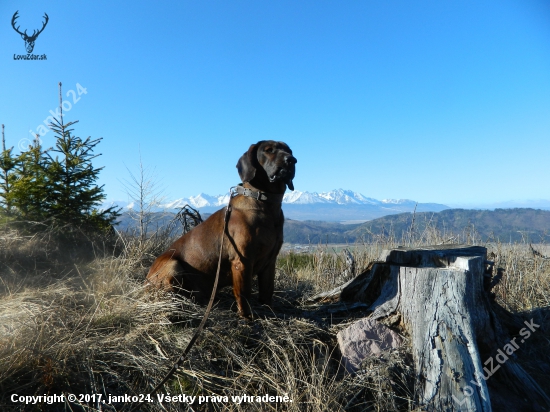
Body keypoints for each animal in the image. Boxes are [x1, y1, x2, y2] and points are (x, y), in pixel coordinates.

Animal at [147, 140, 298, 318]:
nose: (292, 160)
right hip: (173, 265)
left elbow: (267, 291)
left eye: (289, 151)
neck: (264, 202)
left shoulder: (270, 261)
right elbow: (244, 293)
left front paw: (270, 311)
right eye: (269, 150)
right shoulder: (242, 261)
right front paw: (247, 317)